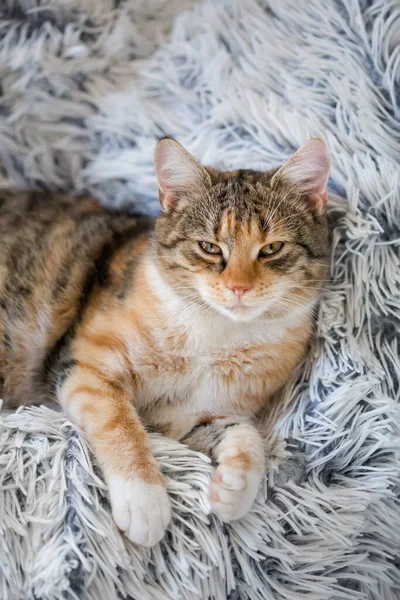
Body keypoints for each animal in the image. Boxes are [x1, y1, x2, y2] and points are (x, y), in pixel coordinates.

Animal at [0, 137, 330, 548]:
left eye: (271, 249)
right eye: (209, 247)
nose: (239, 287)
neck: (217, 336)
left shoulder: (184, 417)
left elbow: (243, 432)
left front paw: (234, 487)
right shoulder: (87, 369)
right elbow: (119, 423)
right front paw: (145, 502)